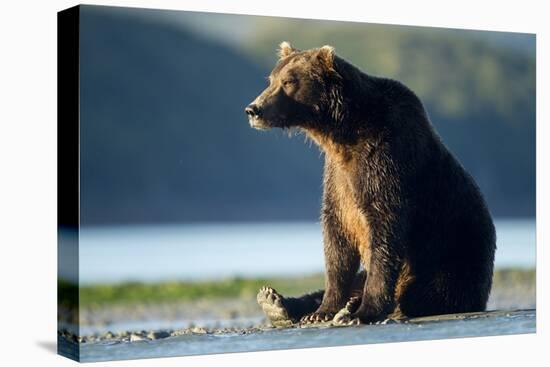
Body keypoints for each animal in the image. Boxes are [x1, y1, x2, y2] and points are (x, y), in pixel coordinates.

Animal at [248, 41, 498, 326]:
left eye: (289, 81)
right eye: (271, 79)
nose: (253, 109)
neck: (341, 133)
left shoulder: (385, 157)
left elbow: (383, 227)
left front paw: (363, 311)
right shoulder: (337, 177)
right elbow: (336, 240)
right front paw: (322, 311)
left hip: (456, 255)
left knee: (432, 290)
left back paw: (362, 306)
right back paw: (275, 302)